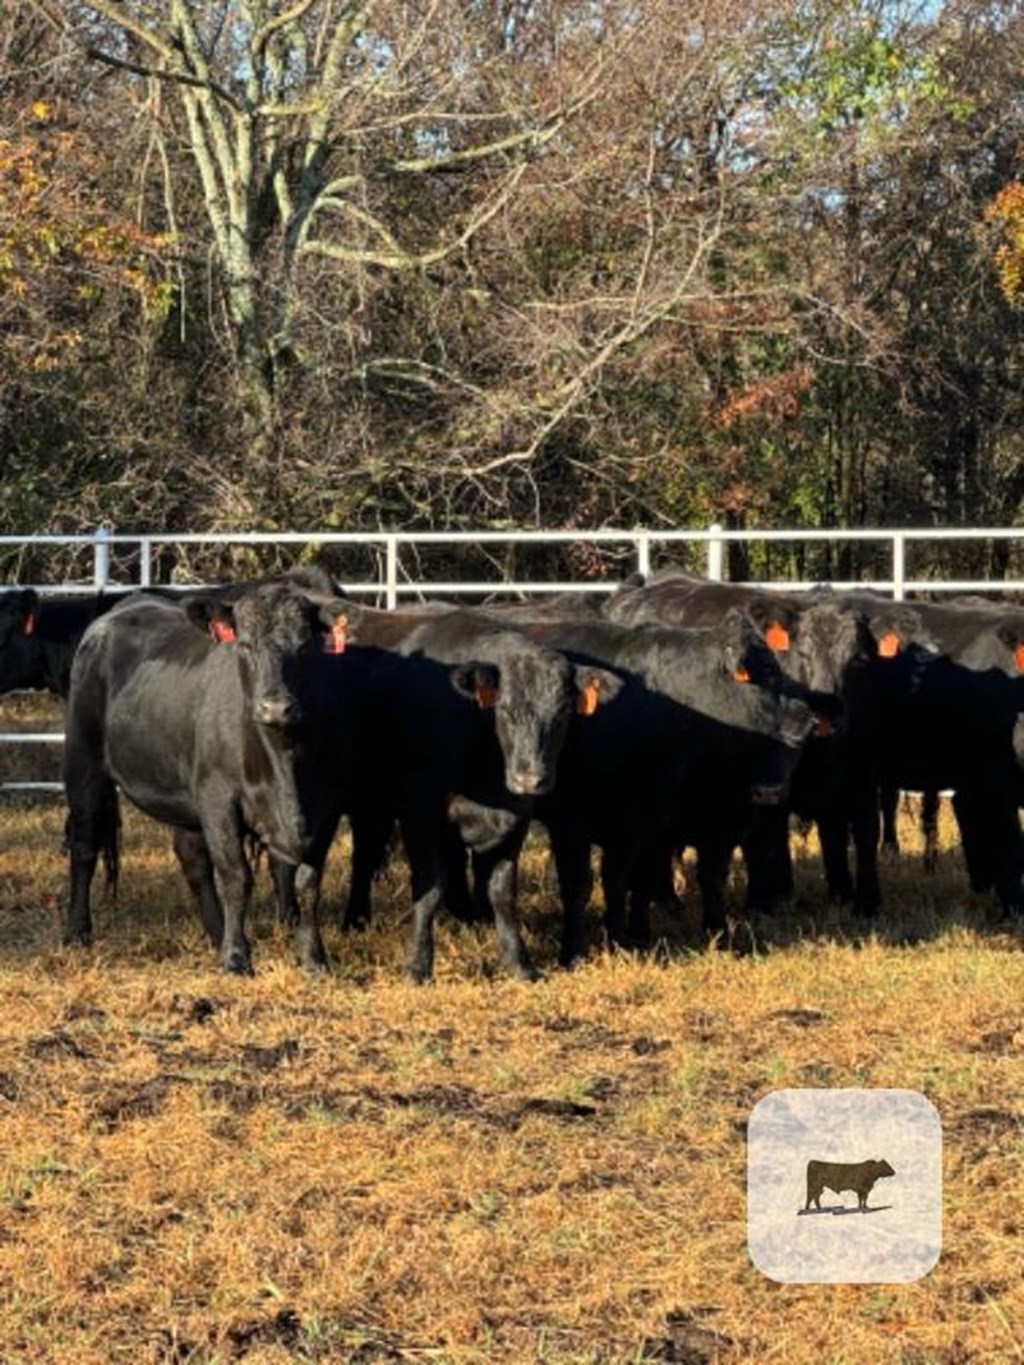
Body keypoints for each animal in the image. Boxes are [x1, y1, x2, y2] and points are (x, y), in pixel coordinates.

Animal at [65, 581, 352, 977]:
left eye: (304, 645)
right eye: (245, 644)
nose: (275, 707)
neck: (284, 762)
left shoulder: (325, 807)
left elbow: (307, 881)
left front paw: (313, 958)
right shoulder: (219, 800)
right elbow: (236, 877)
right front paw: (237, 958)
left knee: (193, 859)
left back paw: (216, 934)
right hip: (85, 766)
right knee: (84, 846)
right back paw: (78, 932)